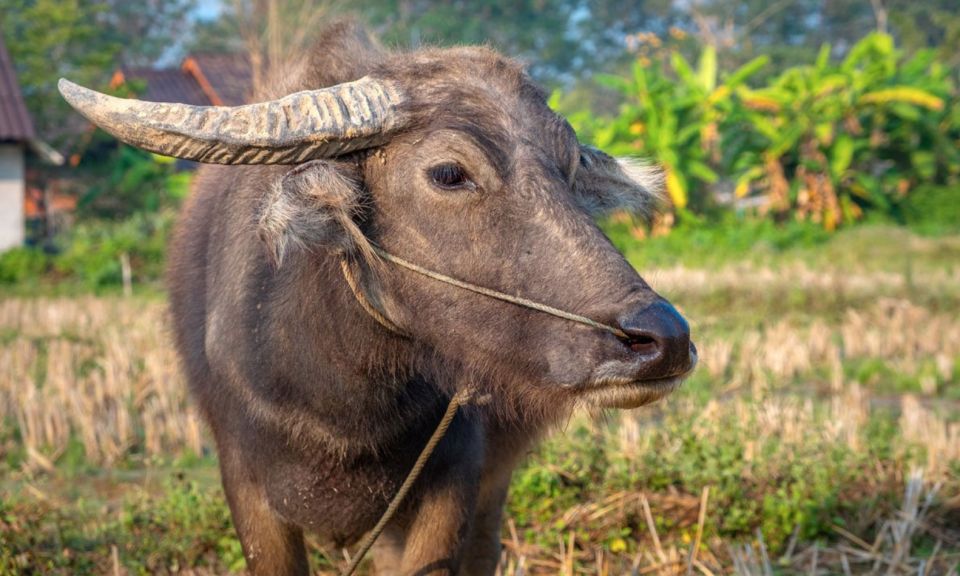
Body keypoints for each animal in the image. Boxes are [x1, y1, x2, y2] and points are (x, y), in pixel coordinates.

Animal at [62, 21, 696, 576]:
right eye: (448, 173)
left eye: (568, 168)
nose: (662, 339)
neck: (342, 401)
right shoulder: (245, 487)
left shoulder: (454, 487)